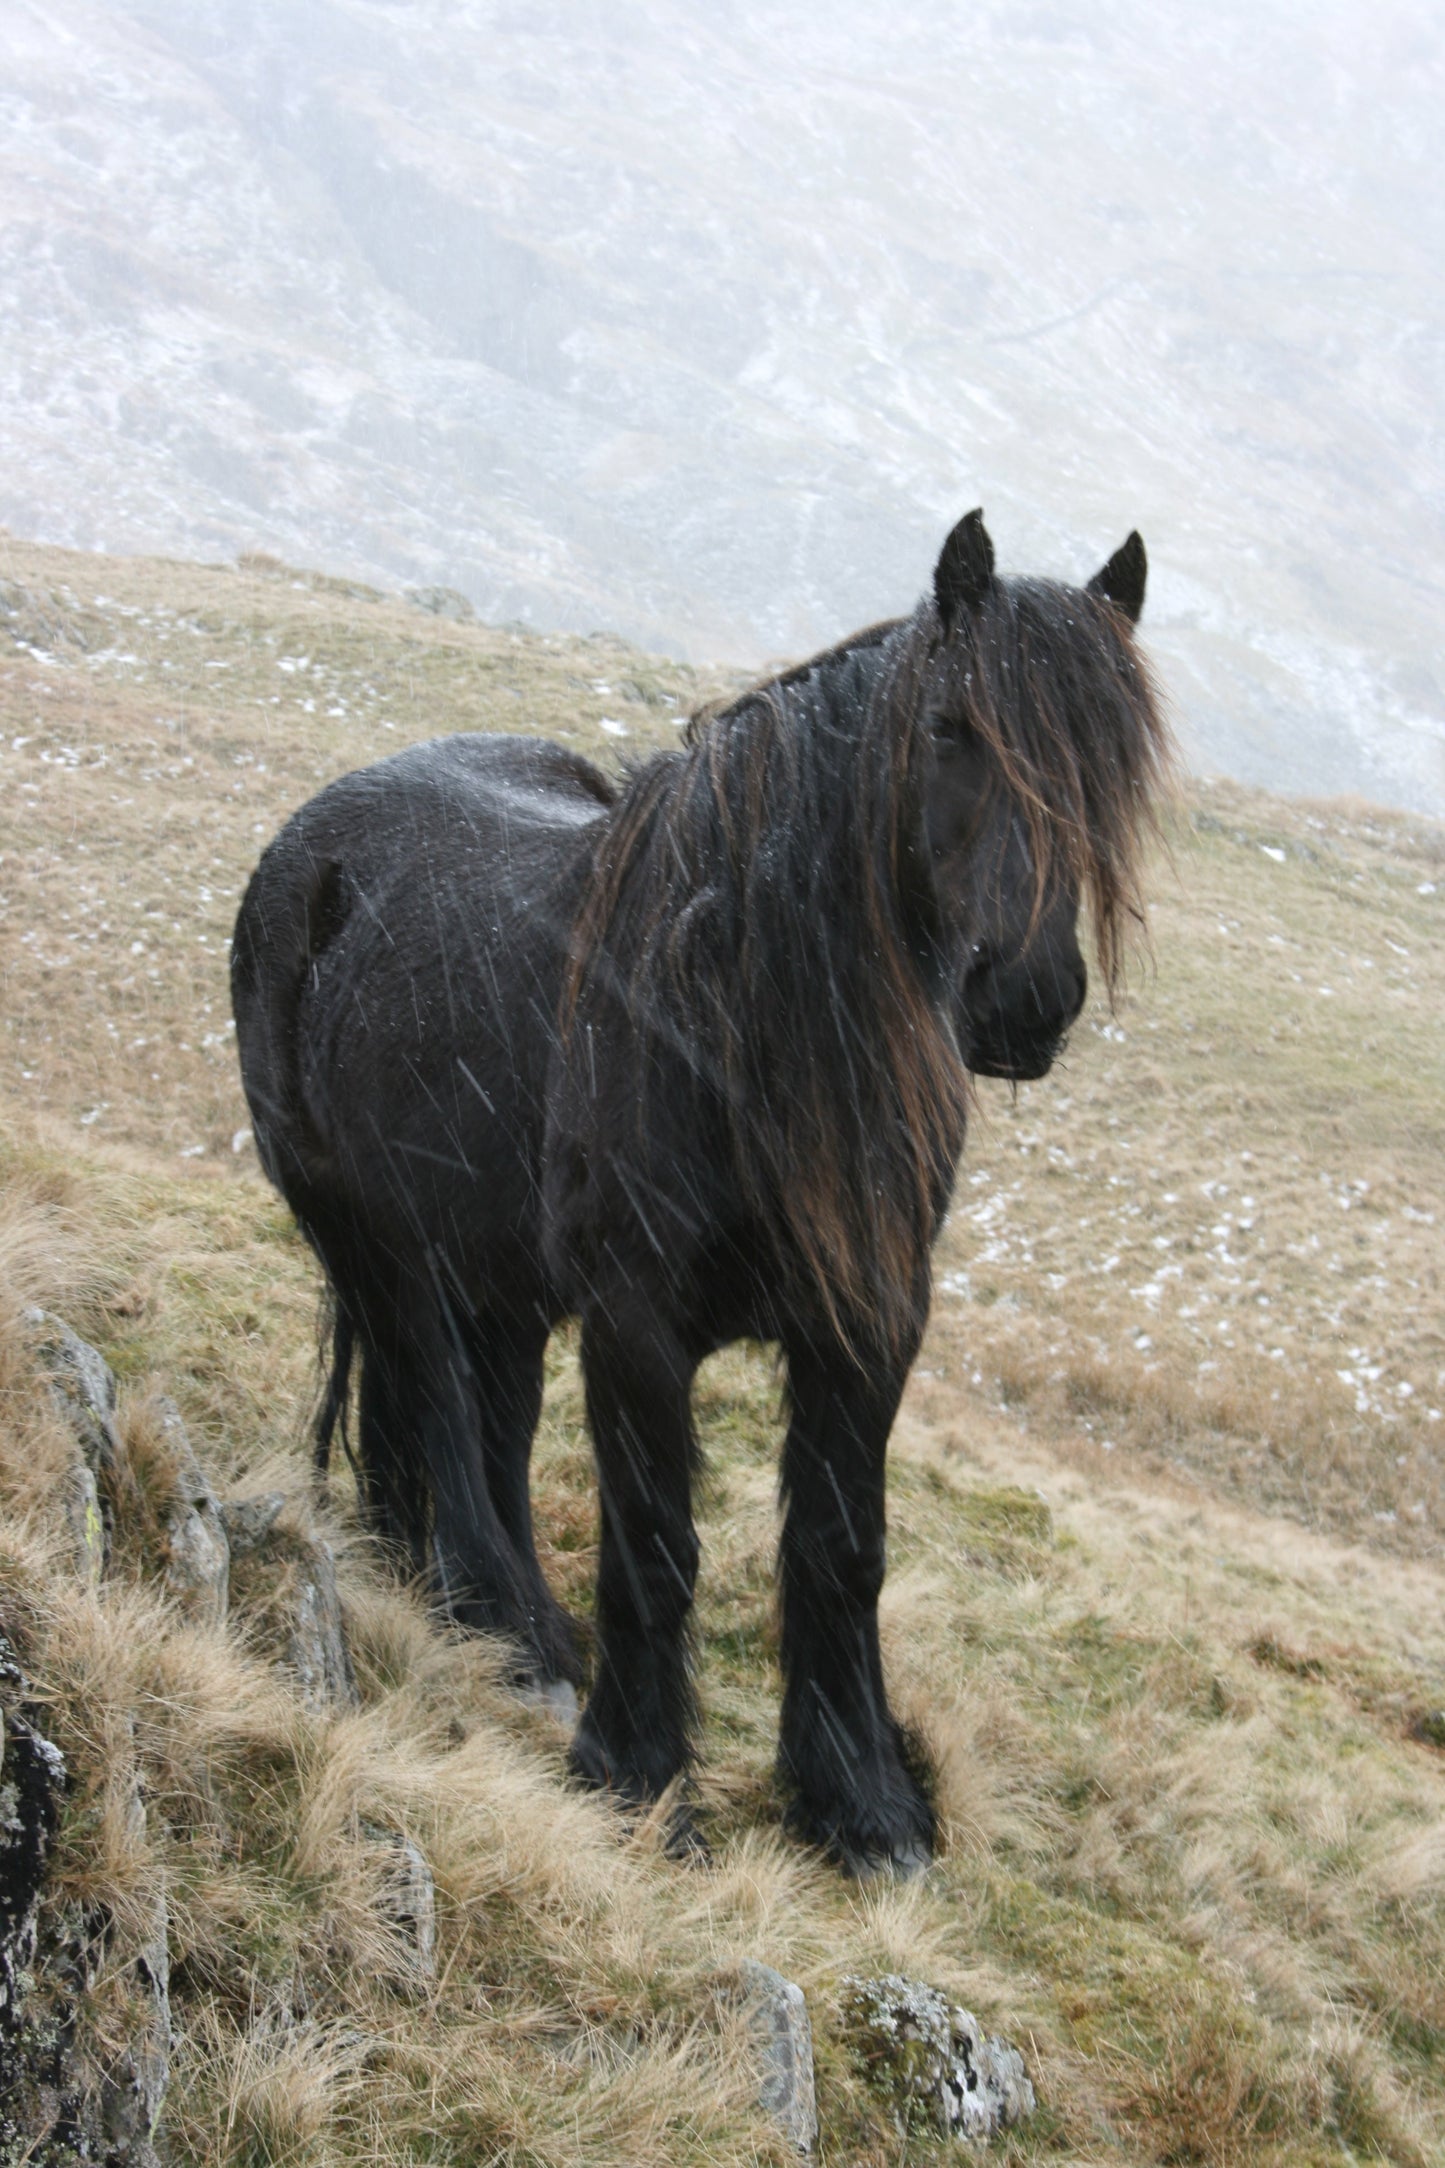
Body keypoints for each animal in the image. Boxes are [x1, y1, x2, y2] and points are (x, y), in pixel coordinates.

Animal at [231, 510, 1170, 1873]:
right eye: (949, 728)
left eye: (1109, 767)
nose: (1022, 1001)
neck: (743, 1017)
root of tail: (310, 840)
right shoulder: (636, 1321)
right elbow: (656, 1547)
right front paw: (636, 1778)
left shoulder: (870, 1324)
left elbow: (839, 1548)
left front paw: (861, 1807)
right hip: (384, 1248)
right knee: (445, 1419)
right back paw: (515, 1637)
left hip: (499, 1278)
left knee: (491, 1431)